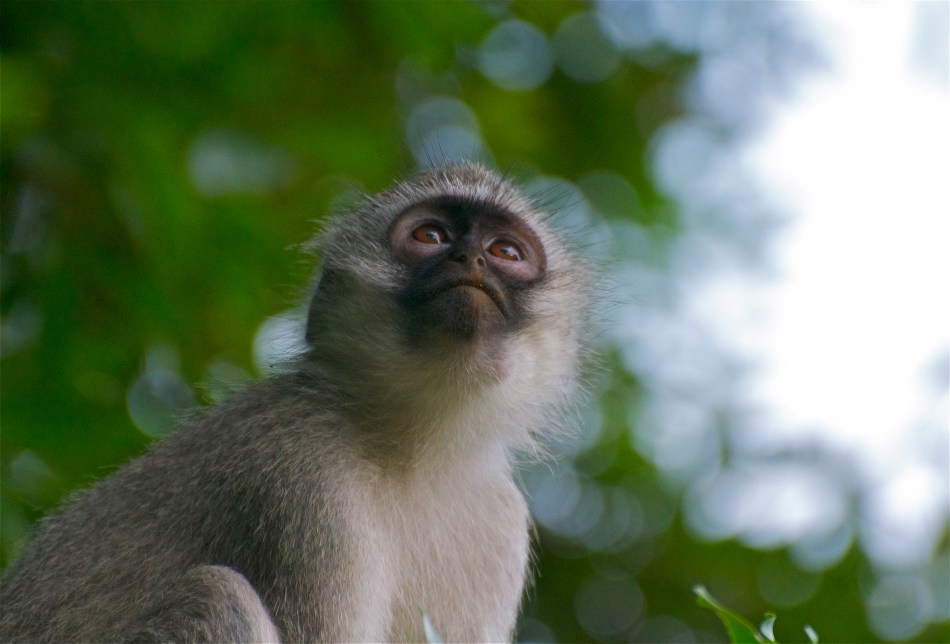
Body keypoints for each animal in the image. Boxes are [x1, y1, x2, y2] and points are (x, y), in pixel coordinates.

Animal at [0, 163, 591, 642]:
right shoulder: (300, 475)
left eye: (506, 252)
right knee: (220, 598)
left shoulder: (501, 524)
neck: (416, 450)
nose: (470, 258)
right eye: (431, 235)